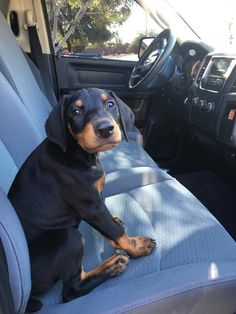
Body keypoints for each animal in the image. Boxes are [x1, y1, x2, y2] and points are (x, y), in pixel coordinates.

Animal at [7, 87, 155, 310]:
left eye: (110, 104)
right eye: (75, 111)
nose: (105, 129)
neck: (78, 153)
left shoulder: (97, 200)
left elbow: (110, 225)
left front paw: (116, 221)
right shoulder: (90, 206)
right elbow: (117, 232)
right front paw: (137, 246)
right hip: (70, 237)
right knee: (71, 290)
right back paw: (112, 266)